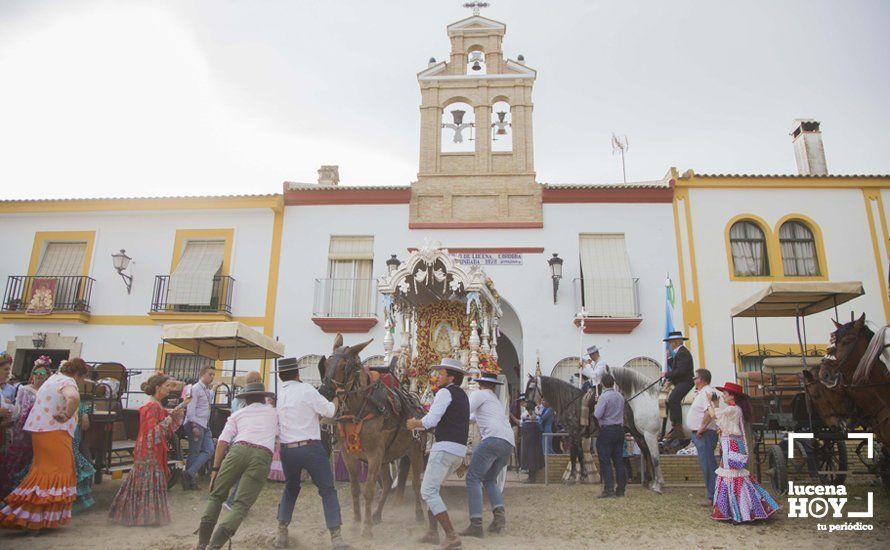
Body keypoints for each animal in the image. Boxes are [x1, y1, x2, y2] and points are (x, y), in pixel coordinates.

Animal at [316, 336, 426, 540]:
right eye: (326, 364)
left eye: (344, 366)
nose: (324, 392)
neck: (360, 410)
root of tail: (416, 402)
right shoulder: (349, 455)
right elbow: (355, 489)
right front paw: (356, 523)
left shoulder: (374, 455)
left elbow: (368, 490)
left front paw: (366, 528)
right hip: (386, 458)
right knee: (388, 483)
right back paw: (376, 514)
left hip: (415, 451)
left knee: (415, 484)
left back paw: (419, 514)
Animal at [524, 368, 664, 494]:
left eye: (530, 388)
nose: (528, 407)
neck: (571, 402)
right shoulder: (579, 435)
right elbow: (580, 454)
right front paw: (583, 475)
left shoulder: (573, 433)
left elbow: (573, 455)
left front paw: (572, 477)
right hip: (638, 434)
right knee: (646, 453)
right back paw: (649, 480)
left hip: (641, 433)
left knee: (648, 453)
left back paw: (652, 481)